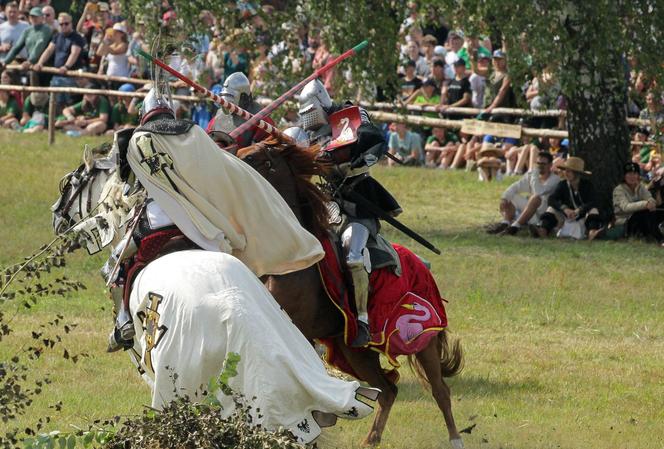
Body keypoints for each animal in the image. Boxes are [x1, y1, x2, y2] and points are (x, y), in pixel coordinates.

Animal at [236, 138, 464, 446]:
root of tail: (422, 266)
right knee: (388, 390)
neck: (292, 257)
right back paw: (371, 439)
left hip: (422, 341)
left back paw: (455, 439)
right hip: (355, 353)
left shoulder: (301, 330)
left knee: (440, 390)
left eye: (255, 158)